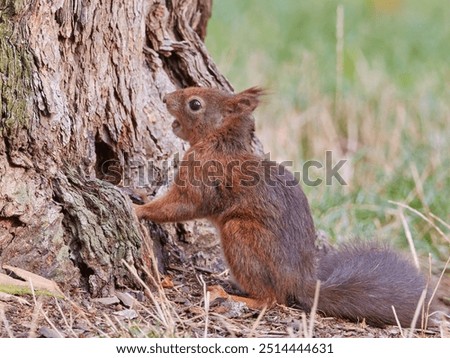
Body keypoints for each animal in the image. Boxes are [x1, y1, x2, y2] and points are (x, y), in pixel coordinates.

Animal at [135, 86, 430, 328]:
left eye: (195, 104)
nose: (165, 98)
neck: (217, 142)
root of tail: (299, 282)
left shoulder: (201, 177)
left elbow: (182, 206)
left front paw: (140, 210)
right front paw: (138, 194)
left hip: (241, 234)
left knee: (271, 299)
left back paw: (230, 295)